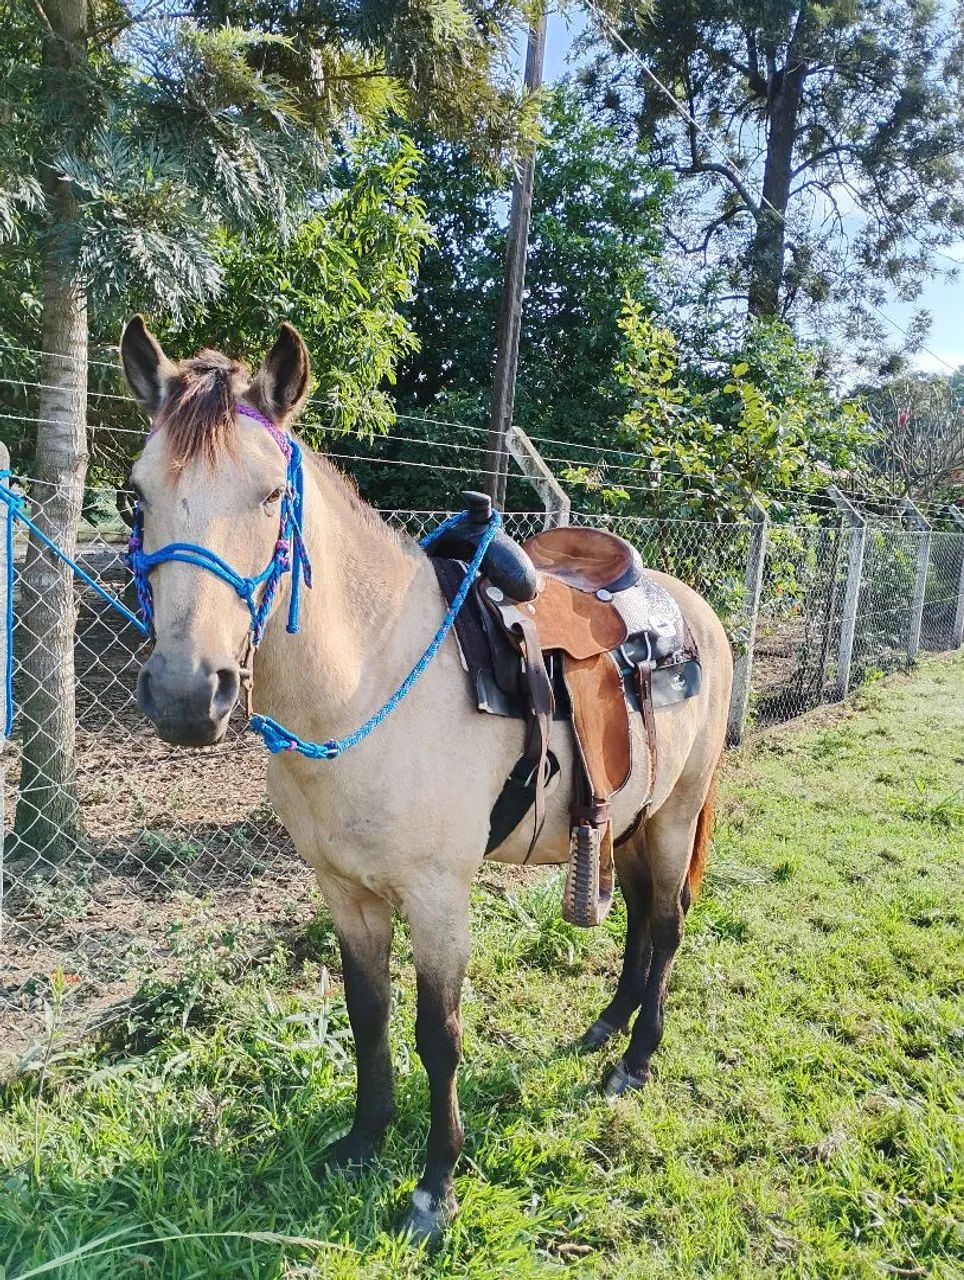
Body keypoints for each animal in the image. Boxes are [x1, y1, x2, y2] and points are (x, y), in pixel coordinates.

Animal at [120, 317, 733, 1245]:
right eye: (136, 495)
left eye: (268, 496)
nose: (190, 696)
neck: (366, 683)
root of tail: (694, 611)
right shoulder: (344, 892)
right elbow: (367, 1015)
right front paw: (363, 1142)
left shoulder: (440, 897)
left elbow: (436, 1034)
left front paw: (434, 1185)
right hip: (629, 818)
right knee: (634, 920)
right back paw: (604, 1028)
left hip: (675, 816)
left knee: (665, 927)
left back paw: (634, 1059)